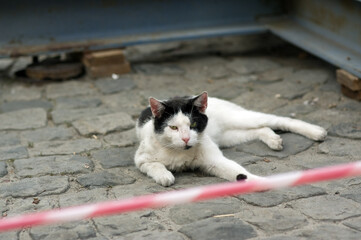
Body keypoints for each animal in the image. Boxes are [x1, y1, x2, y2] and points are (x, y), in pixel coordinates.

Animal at [135, 91, 326, 187]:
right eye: (173, 127)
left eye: (193, 124)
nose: (186, 138)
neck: (180, 152)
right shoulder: (141, 159)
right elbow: (155, 165)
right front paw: (165, 176)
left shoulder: (215, 160)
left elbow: (240, 172)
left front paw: (262, 182)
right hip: (230, 136)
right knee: (260, 129)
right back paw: (274, 140)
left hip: (240, 119)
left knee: (279, 120)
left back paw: (316, 131)